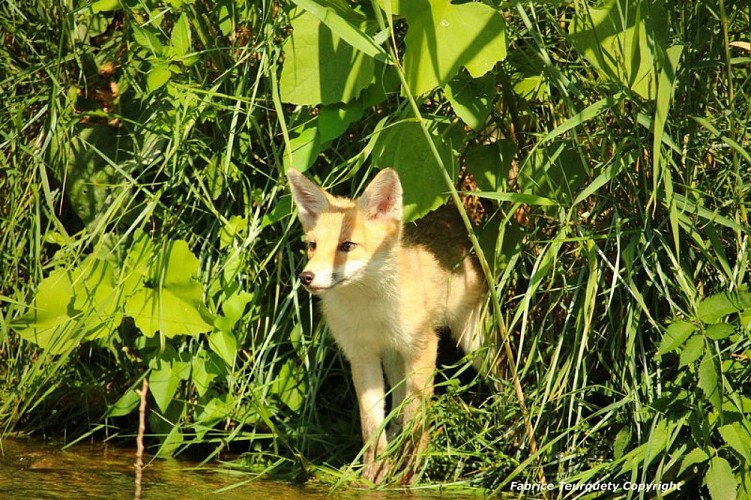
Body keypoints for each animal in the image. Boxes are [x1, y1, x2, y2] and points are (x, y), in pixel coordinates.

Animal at [287, 167, 486, 484]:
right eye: (313, 246)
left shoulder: (422, 346)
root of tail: (452, 212)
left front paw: (410, 472)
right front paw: (374, 474)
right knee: (396, 407)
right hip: (394, 361)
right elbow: (371, 424)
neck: (369, 313)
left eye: (347, 246)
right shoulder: (361, 355)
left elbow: (417, 419)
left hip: (473, 341)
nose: (306, 277)